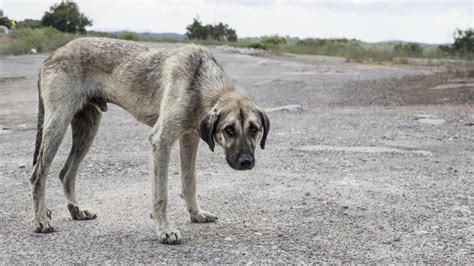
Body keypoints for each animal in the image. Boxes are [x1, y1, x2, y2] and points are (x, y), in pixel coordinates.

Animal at [30, 36, 270, 244]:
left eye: (254, 129)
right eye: (229, 130)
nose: (246, 162)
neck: (200, 80)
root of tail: (51, 55)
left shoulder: (189, 138)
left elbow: (189, 182)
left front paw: (196, 214)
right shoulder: (161, 141)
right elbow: (161, 195)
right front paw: (164, 230)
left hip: (87, 129)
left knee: (66, 173)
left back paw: (76, 210)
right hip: (57, 125)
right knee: (38, 175)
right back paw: (41, 220)